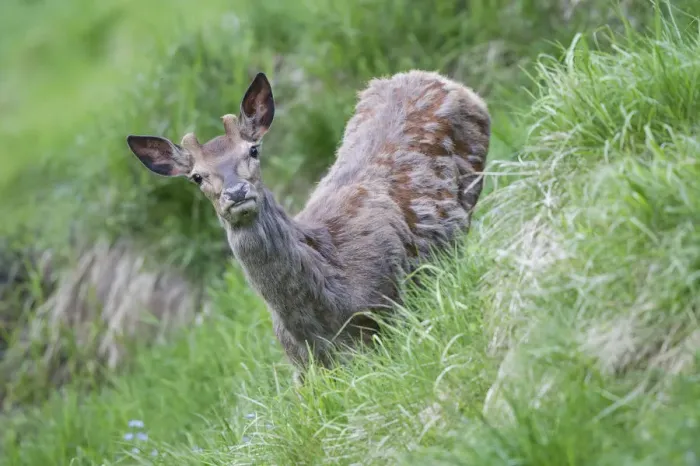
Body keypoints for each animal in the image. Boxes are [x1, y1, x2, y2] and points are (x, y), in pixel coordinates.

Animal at [126, 70, 490, 382]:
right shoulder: (302, 367)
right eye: (197, 176)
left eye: (252, 150)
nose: (236, 192)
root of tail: (439, 79)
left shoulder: (393, 308)